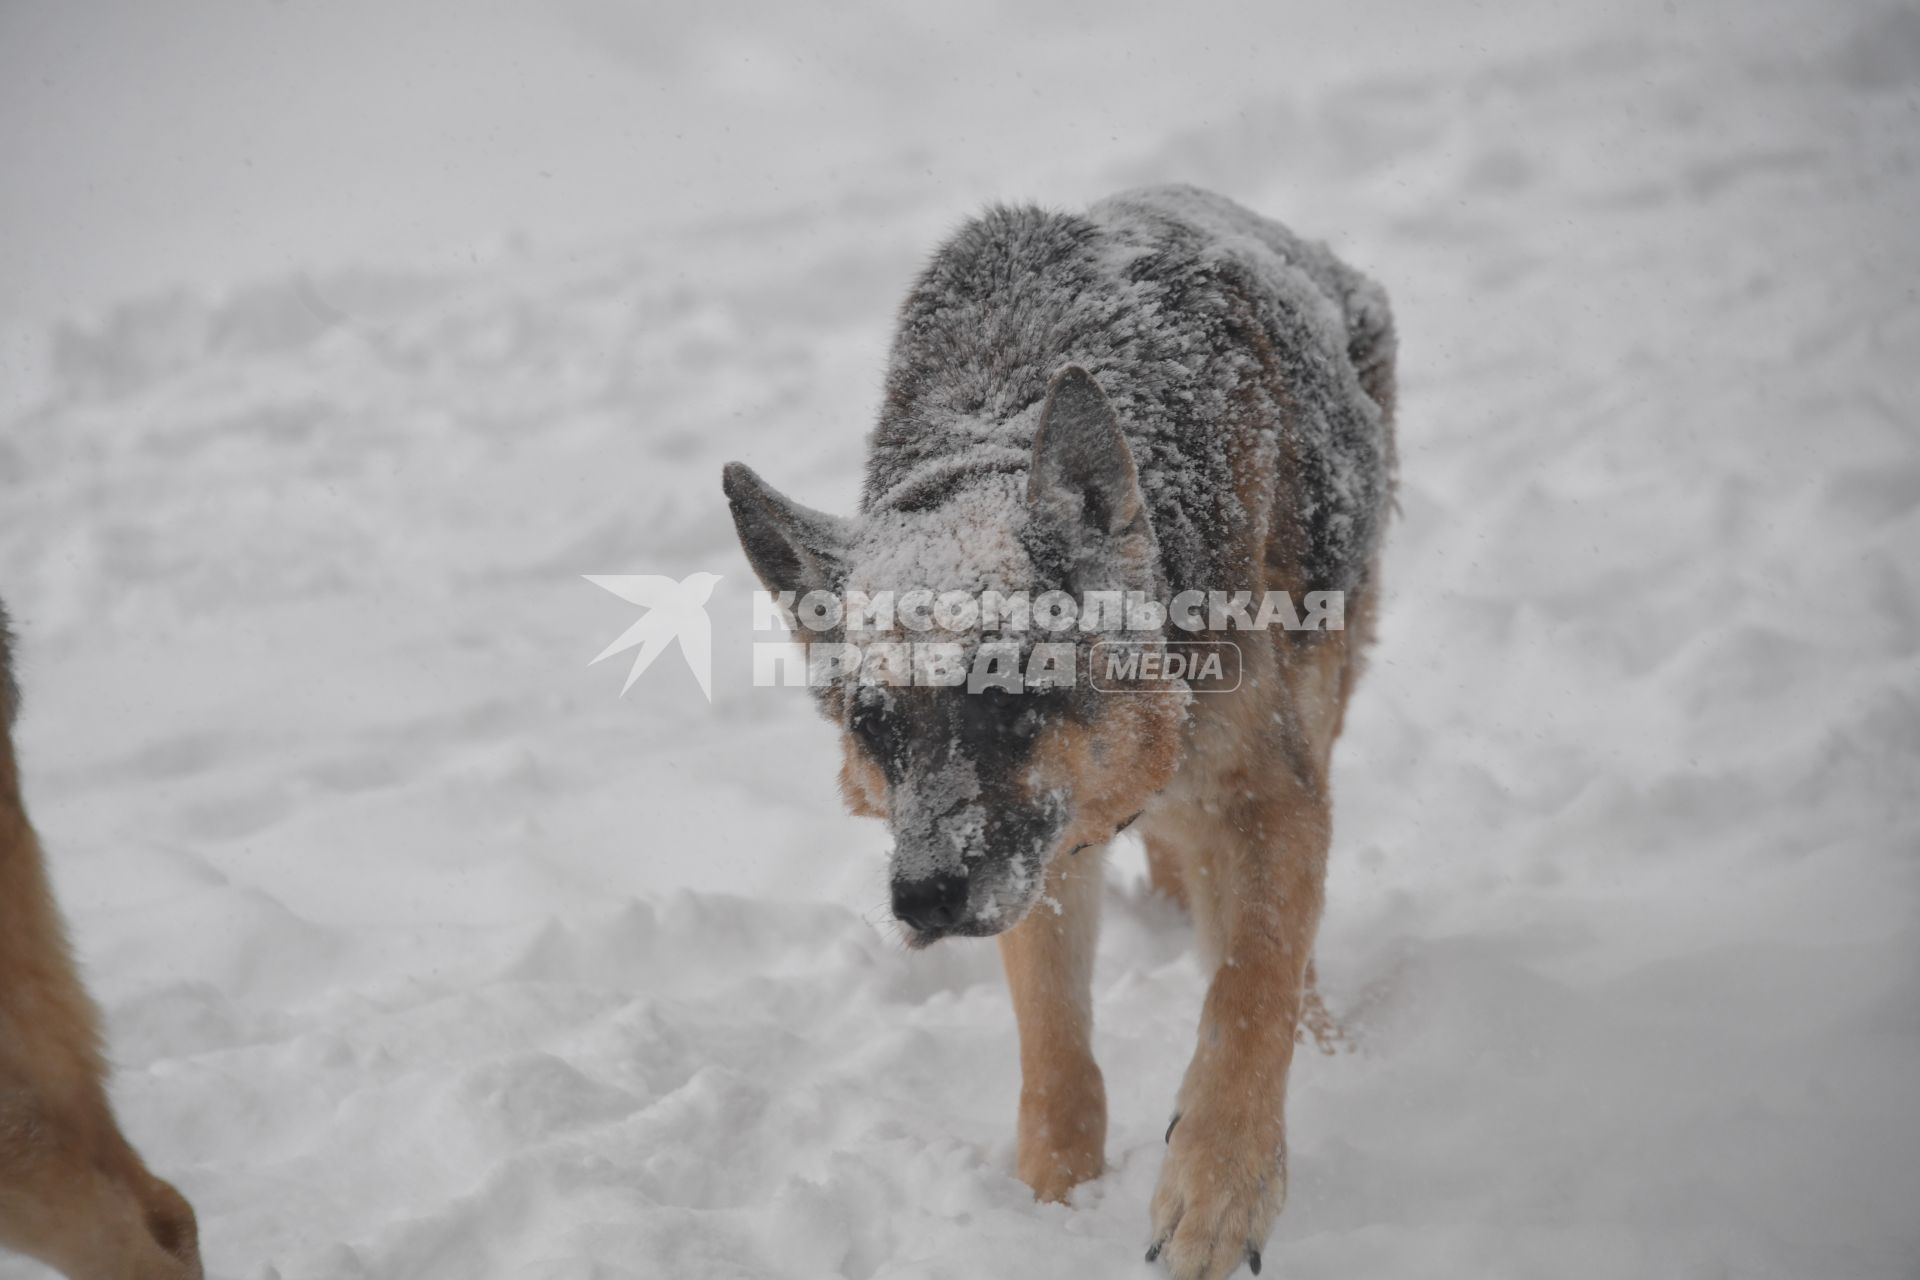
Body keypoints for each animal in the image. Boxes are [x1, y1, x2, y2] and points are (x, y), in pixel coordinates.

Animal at [721, 182, 1397, 1280]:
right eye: (875, 726)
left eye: (1008, 696)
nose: (921, 899)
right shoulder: (1044, 852)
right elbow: (1055, 1047)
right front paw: (1050, 1203)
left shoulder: (1266, 794)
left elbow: (1249, 989)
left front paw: (1217, 1195)